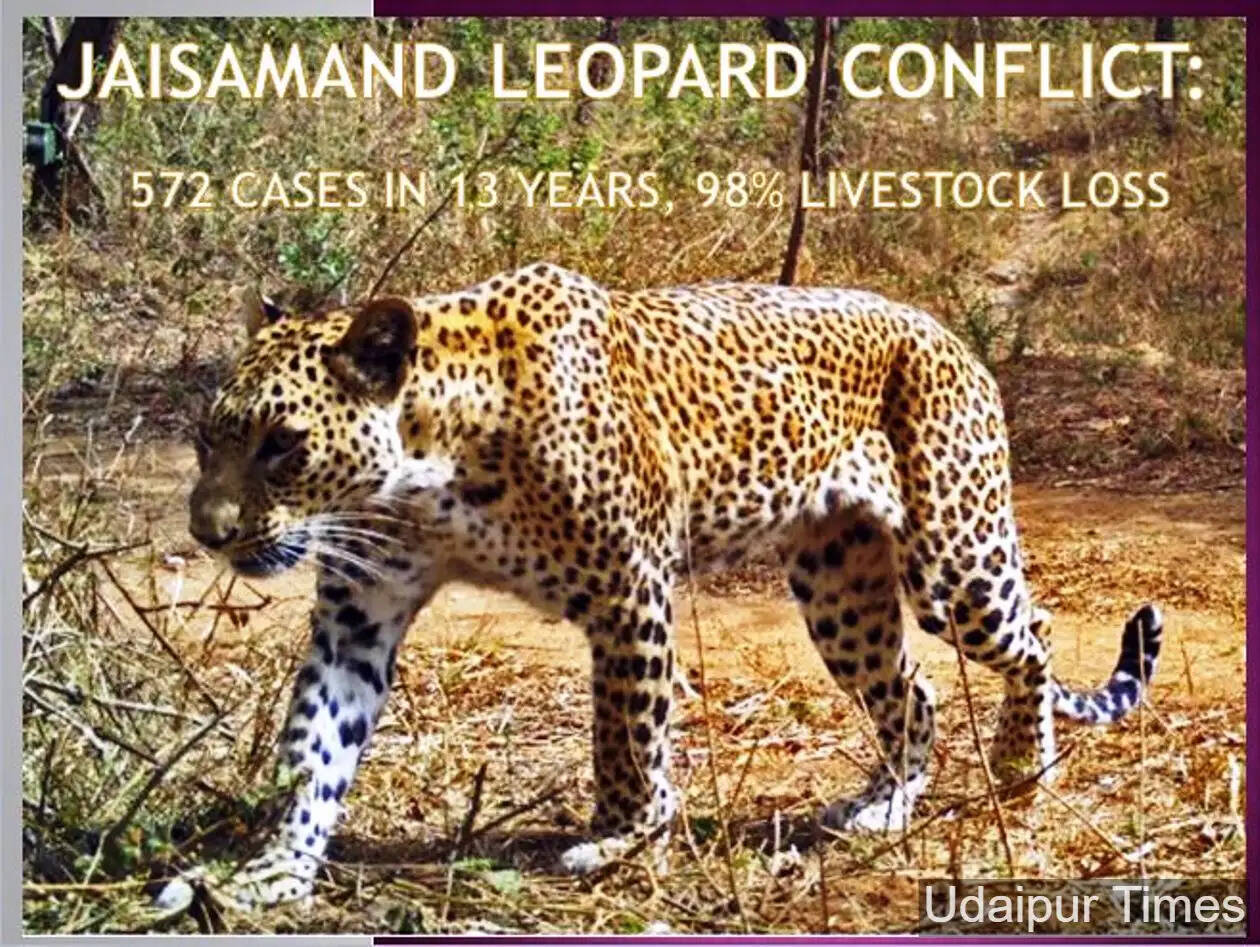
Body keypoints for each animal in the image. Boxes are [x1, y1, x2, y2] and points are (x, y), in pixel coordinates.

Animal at [159, 262, 1162, 910]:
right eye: (207, 439)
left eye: (282, 445)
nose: (207, 533)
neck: (423, 471)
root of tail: (953, 335)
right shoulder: (357, 616)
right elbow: (315, 744)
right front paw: (276, 869)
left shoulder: (627, 588)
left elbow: (626, 731)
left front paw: (624, 832)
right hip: (840, 588)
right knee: (912, 694)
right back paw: (882, 805)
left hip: (954, 563)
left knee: (1032, 636)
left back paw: (1023, 768)